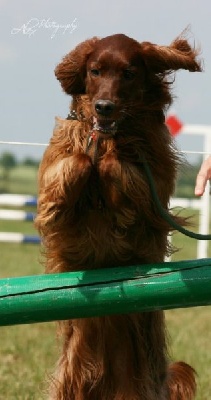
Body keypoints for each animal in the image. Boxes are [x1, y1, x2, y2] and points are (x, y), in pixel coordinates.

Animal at [35, 32, 202, 398]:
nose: (104, 107)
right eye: (95, 70)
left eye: (129, 73)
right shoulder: (59, 160)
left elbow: (116, 169)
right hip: (69, 381)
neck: (109, 136)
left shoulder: (156, 189)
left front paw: (121, 207)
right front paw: (61, 200)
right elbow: (79, 161)